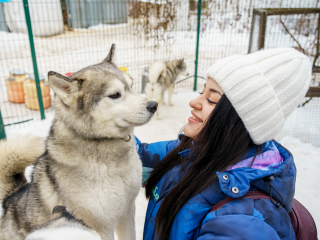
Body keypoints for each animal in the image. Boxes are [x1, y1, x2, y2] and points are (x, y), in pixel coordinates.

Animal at [0, 44, 158, 239]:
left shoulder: (127, 211)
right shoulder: (99, 227)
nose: (154, 105)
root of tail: (10, 197)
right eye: (115, 95)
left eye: (132, 86)